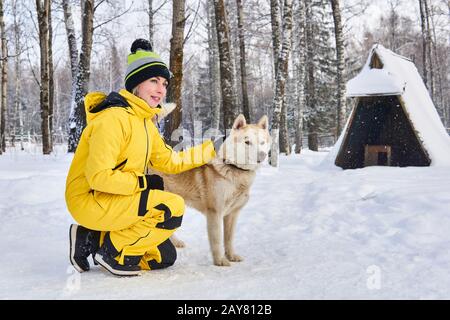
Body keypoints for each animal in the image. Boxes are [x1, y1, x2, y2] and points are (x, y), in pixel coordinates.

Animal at [151, 112, 270, 264]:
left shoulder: (232, 214)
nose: (262, 155)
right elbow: (217, 240)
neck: (233, 168)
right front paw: (220, 261)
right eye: (247, 142)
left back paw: (176, 243)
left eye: (262, 142)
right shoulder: (215, 212)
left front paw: (231, 256)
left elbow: (229, 239)